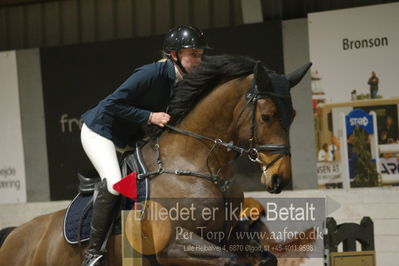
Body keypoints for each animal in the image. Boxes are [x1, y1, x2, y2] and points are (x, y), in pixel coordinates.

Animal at [0, 55, 310, 264]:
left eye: (294, 115)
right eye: (267, 116)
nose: (280, 178)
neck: (200, 164)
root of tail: (15, 235)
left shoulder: (229, 235)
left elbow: (266, 258)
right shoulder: (172, 245)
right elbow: (228, 260)